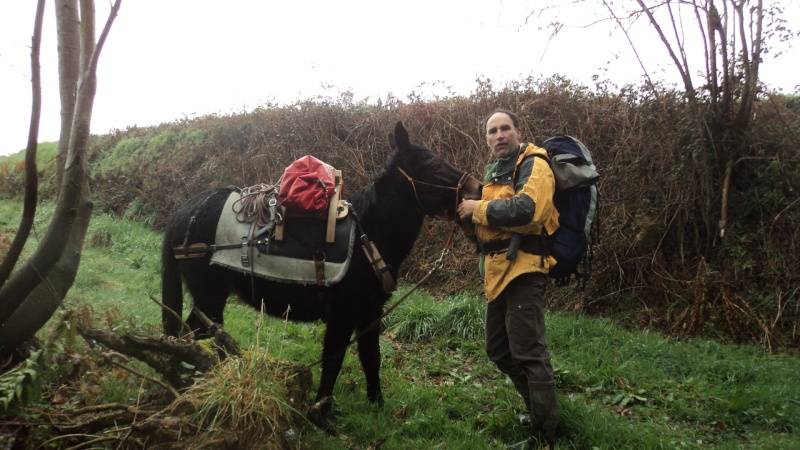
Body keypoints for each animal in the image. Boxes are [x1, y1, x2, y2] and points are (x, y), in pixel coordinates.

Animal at [159, 121, 478, 420]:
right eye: (433, 165)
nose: (476, 188)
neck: (367, 238)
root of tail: (185, 212)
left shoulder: (370, 313)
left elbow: (371, 358)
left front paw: (377, 406)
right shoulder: (342, 315)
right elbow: (333, 361)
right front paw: (321, 412)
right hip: (209, 297)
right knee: (196, 337)